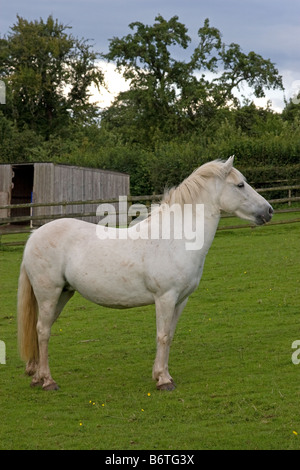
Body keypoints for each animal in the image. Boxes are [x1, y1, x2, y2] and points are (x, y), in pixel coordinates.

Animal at [17, 156, 274, 392]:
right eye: (240, 185)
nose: (269, 211)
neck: (175, 238)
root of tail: (34, 236)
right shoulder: (165, 297)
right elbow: (162, 335)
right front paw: (164, 380)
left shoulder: (181, 300)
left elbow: (170, 335)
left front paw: (162, 374)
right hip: (49, 294)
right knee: (42, 331)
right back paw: (48, 381)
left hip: (63, 294)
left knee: (41, 330)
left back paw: (37, 377)